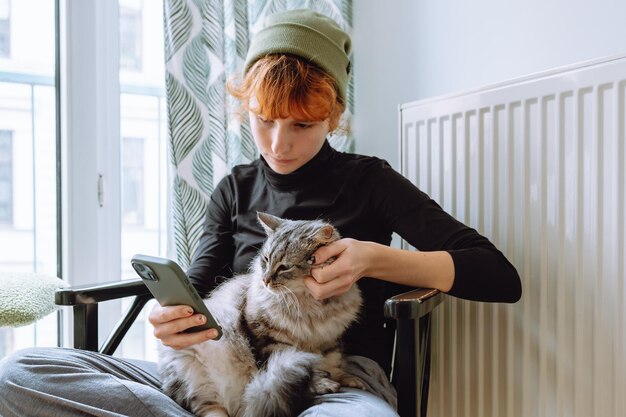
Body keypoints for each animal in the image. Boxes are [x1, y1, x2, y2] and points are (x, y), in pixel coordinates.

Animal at [157, 213, 366, 414]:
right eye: (265, 260)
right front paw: (323, 383)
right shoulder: (272, 341)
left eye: (284, 267)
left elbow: (333, 362)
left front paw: (347, 378)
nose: (265, 280)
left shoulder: (330, 337)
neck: (311, 306)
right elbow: (311, 370)